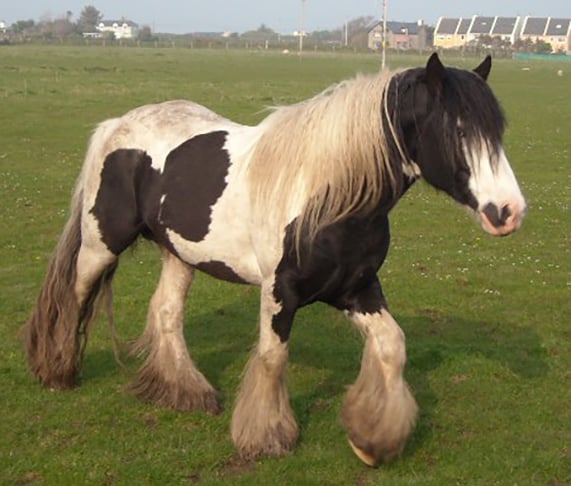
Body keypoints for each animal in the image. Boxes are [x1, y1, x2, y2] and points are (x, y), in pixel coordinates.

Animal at [25, 54, 528, 468]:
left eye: (497, 132)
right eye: (458, 130)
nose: (509, 211)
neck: (328, 195)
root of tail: (118, 124)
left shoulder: (357, 288)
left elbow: (392, 346)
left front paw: (372, 439)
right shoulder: (280, 290)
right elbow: (272, 357)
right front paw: (266, 437)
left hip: (180, 254)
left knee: (166, 312)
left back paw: (187, 392)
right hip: (101, 244)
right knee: (75, 296)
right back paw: (59, 372)